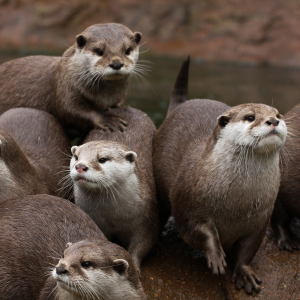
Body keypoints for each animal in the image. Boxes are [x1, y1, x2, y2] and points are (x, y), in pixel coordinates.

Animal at [0, 23, 142, 138]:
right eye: (99, 51)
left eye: (128, 50)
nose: (116, 64)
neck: (104, 97)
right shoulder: (65, 88)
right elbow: (70, 110)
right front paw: (108, 121)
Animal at [69, 106, 159, 274]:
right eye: (76, 157)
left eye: (102, 159)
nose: (80, 166)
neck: (114, 215)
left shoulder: (146, 219)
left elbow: (142, 244)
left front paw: (134, 268)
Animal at [154, 58, 288, 292]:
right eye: (250, 117)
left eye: (279, 114)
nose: (274, 121)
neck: (239, 202)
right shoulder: (189, 204)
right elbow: (198, 229)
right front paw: (216, 256)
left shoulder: (260, 220)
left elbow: (248, 250)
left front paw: (244, 273)